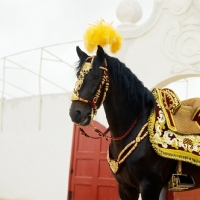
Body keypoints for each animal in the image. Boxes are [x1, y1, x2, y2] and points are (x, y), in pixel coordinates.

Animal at [69, 45, 200, 200]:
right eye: (78, 76)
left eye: (96, 76)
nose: (75, 113)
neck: (132, 128)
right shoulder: (126, 188)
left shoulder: (150, 186)